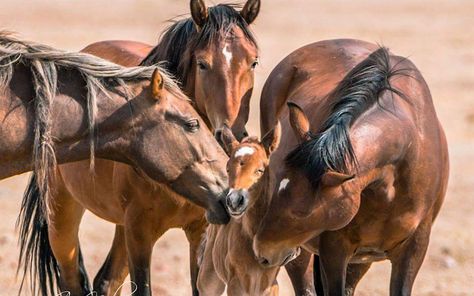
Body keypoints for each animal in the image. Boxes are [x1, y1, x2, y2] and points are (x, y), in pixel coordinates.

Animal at [252, 40, 448, 296]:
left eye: (303, 212)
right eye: (276, 188)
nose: (261, 250)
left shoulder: (414, 249)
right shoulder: (334, 249)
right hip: (301, 252)